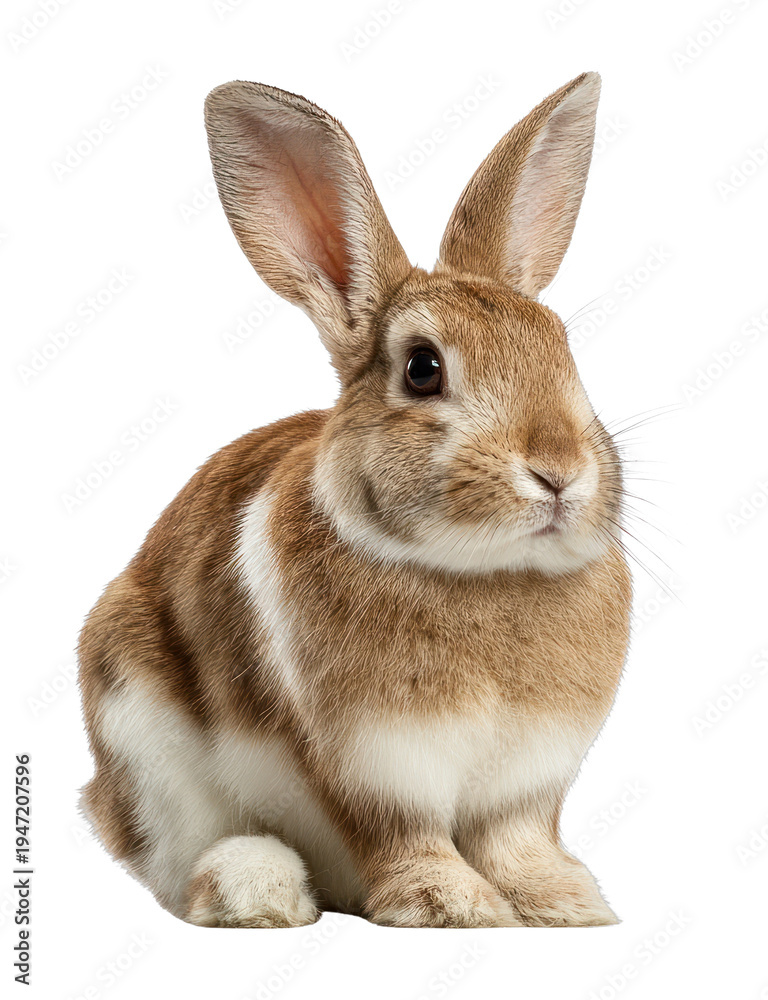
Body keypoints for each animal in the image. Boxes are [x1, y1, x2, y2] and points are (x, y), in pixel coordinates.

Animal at [78, 71, 631, 929]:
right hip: (142, 738)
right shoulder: (372, 765)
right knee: (178, 865)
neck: (484, 574)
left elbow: (517, 840)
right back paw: (256, 890)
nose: (559, 471)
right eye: (423, 369)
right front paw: (451, 906)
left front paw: (565, 903)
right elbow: (406, 835)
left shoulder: (528, 780)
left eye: (563, 351)